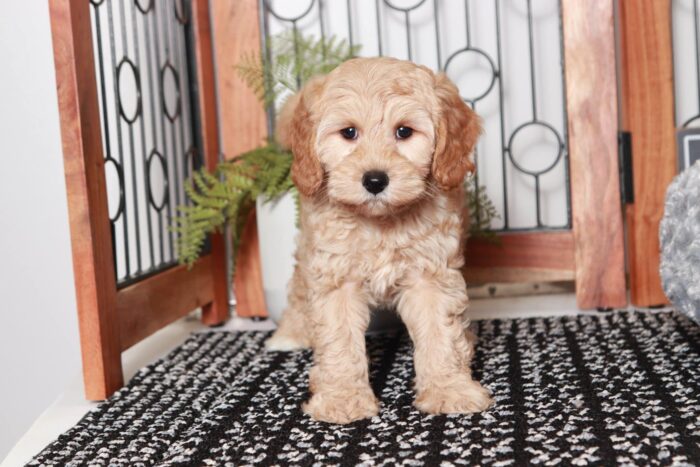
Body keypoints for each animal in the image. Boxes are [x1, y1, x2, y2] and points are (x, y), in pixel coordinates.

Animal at [266, 57, 492, 424]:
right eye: (349, 133)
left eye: (404, 132)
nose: (374, 180)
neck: (380, 222)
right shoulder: (336, 274)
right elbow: (339, 339)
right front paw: (342, 398)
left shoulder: (431, 274)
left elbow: (440, 332)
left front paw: (449, 389)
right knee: (299, 286)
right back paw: (290, 333)